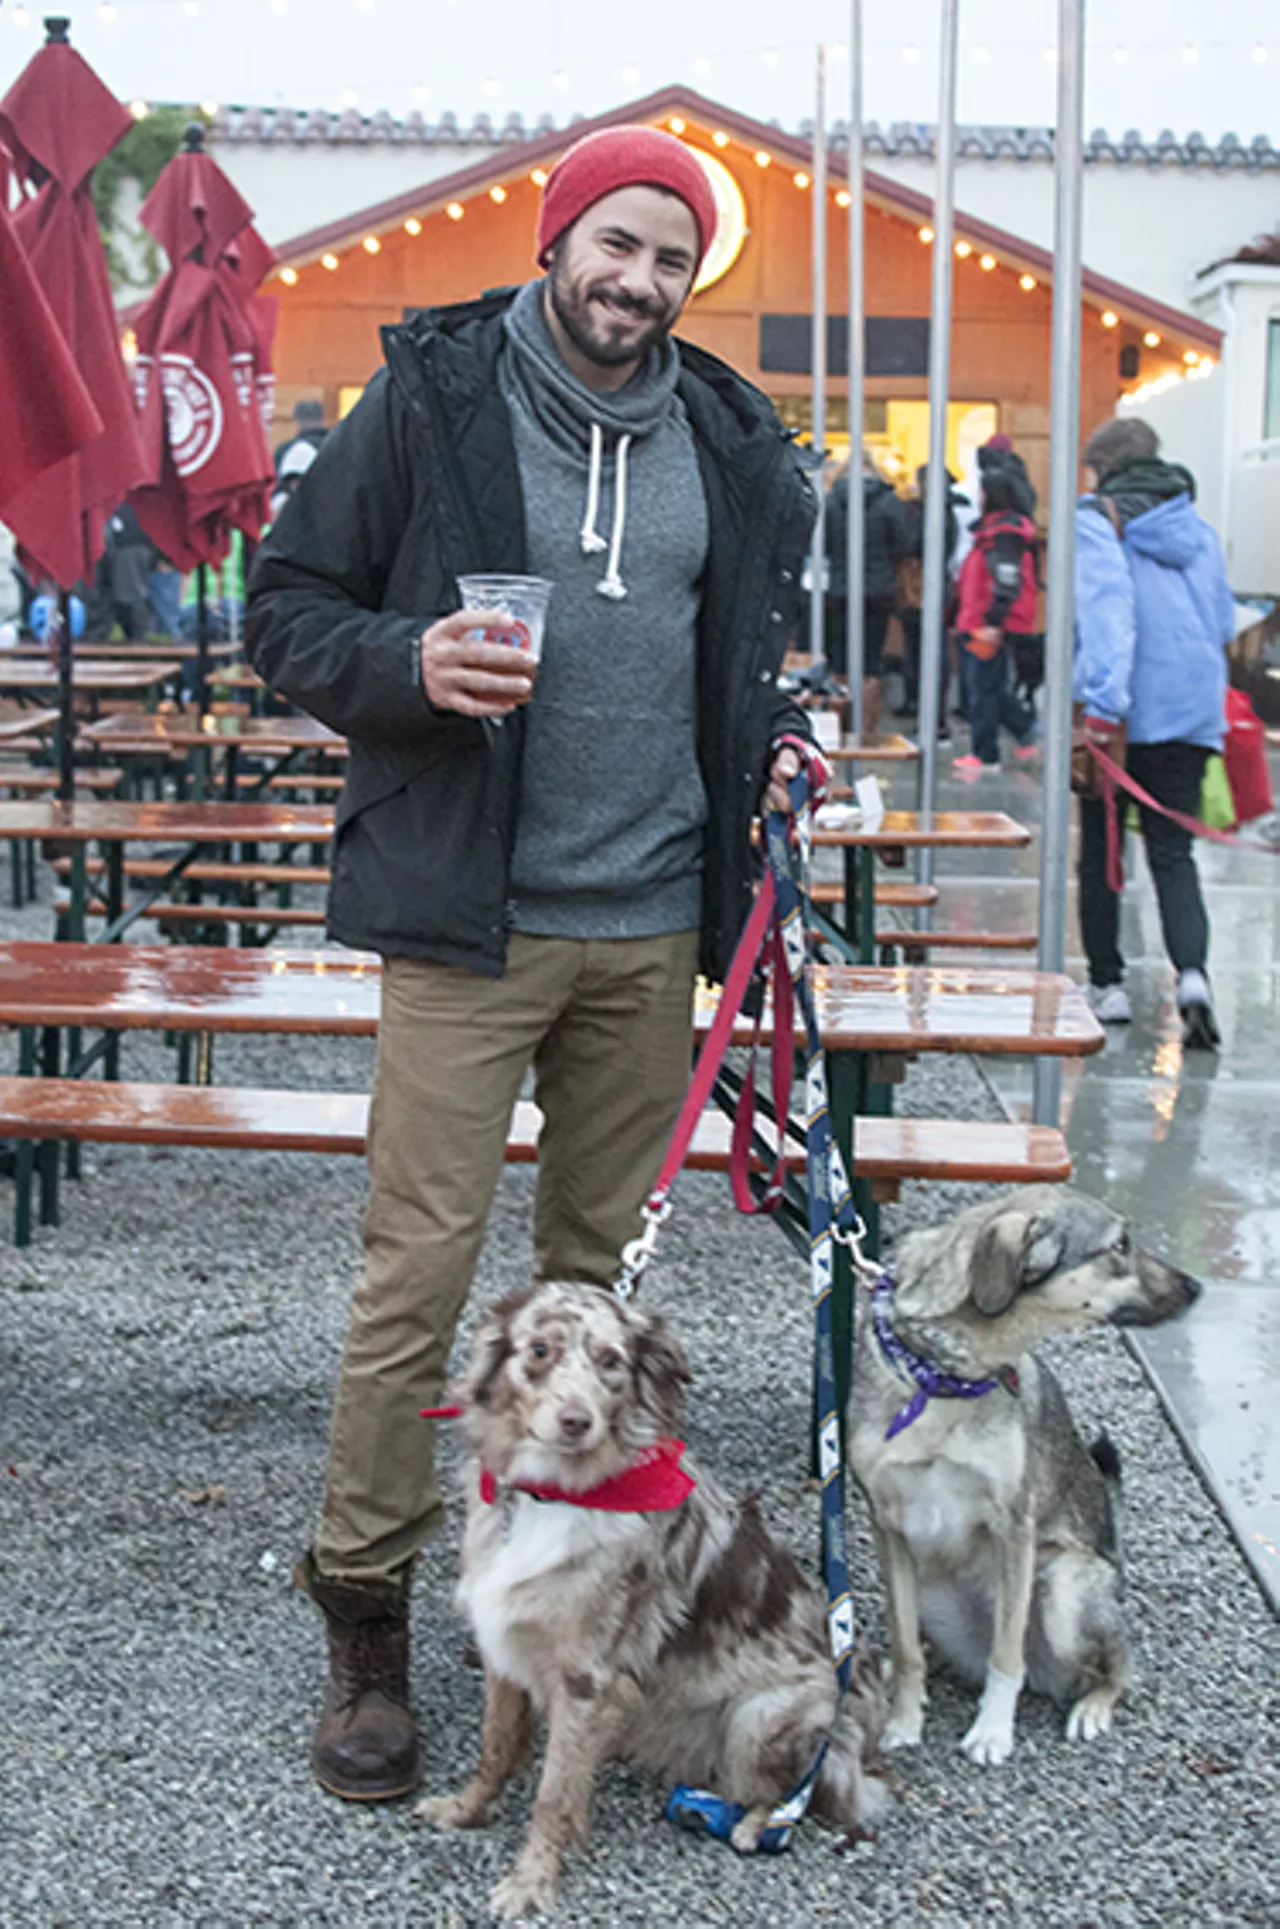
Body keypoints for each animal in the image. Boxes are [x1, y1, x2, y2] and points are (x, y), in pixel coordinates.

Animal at [414, 1280, 886, 1913]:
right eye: (539, 1350)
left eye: (611, 1361)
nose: (576, 1421)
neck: (554, 1495)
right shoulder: (504, 1649)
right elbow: (495, 1746)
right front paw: (467, 1810)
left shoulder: (586, 1679)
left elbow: (551, 1796)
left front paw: (531, 1883)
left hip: (757, 1718)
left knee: (799, 1792)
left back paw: (756, 1824)